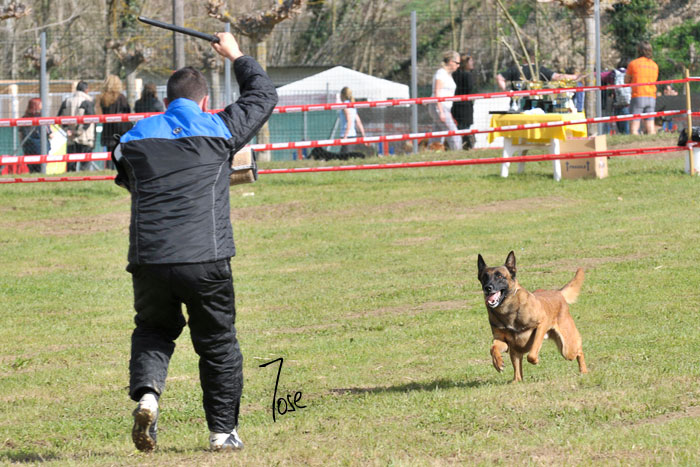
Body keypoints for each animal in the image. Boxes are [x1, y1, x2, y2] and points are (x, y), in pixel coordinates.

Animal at [477, 251, 588, 382]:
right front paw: (497, 363)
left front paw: (535, 360)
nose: (488, 288)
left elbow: (531, 354)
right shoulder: (501, 339)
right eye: (485, 277)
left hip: (567, 348)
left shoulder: (541, 325)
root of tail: (558, 292)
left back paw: (584, 370)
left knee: (579, 351)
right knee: (518, 371)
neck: (508, 311)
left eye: (499, 276)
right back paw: (516, 381)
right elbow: (493, 348)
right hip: (515, 352)